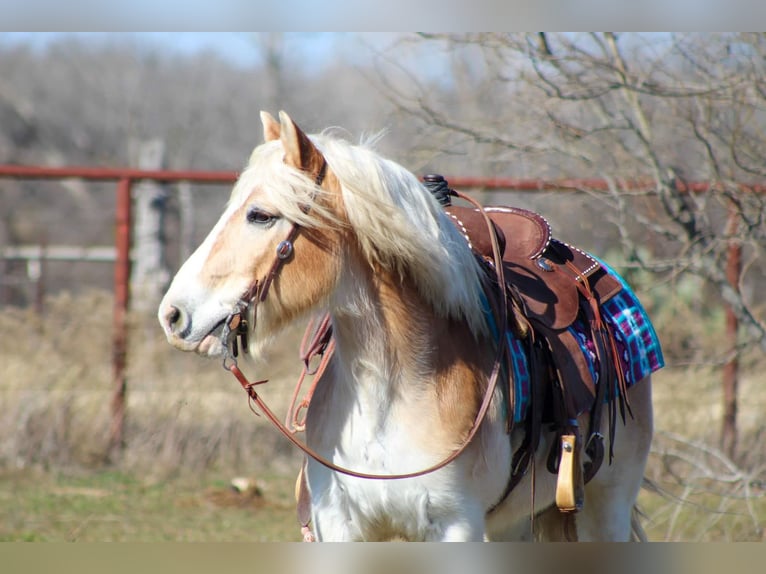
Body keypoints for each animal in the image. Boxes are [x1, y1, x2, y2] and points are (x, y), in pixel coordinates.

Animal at [159, 112, 664, 544]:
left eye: (261, 215)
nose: (173, 314)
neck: (389, 394)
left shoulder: (456, 526)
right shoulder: (339, 526)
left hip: (607, 507)